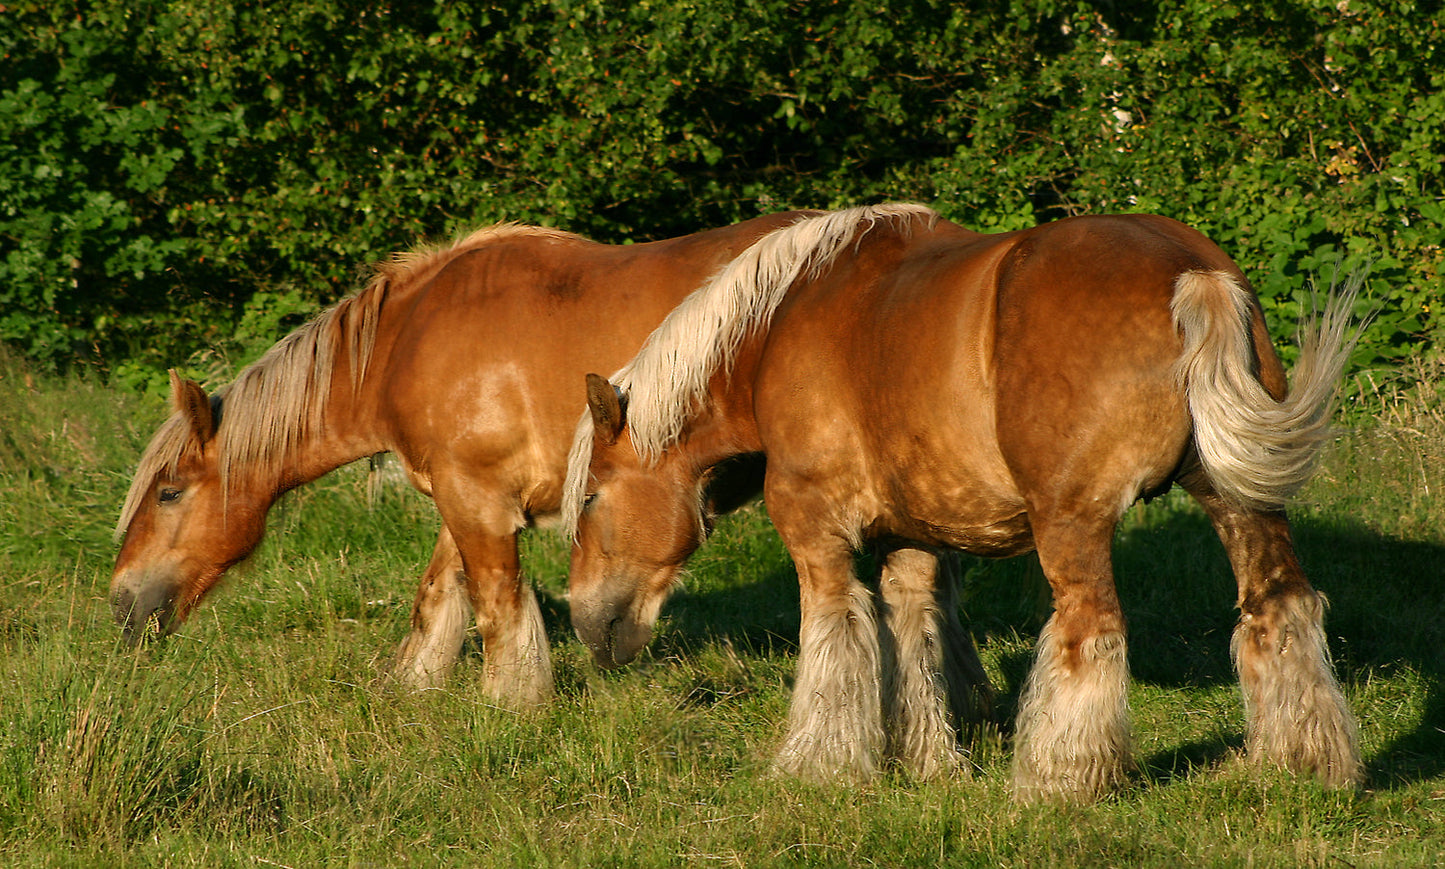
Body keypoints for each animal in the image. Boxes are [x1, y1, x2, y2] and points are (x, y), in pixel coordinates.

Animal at [110, 211, 819, 707]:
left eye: (169, 492)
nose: (121, 604)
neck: (406, 342)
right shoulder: (463, 494)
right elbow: (439, 594)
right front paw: (412, 686)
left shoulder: (477, 500)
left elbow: (497, 606)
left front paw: (510, 706)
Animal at [563, 203, 1363, 800]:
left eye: (592, 498)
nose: (584, 622)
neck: (781, 327)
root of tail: (1188, 274)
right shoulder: (911, 536)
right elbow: (912, 638)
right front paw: (926, 763)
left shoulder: (814, 528)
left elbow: (833, 642)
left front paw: (818, 765)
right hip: (1240, 501)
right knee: (1279, 606)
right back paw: (1301, 763)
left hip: (1072, 523)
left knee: (1090, 633)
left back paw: (1056, 783)